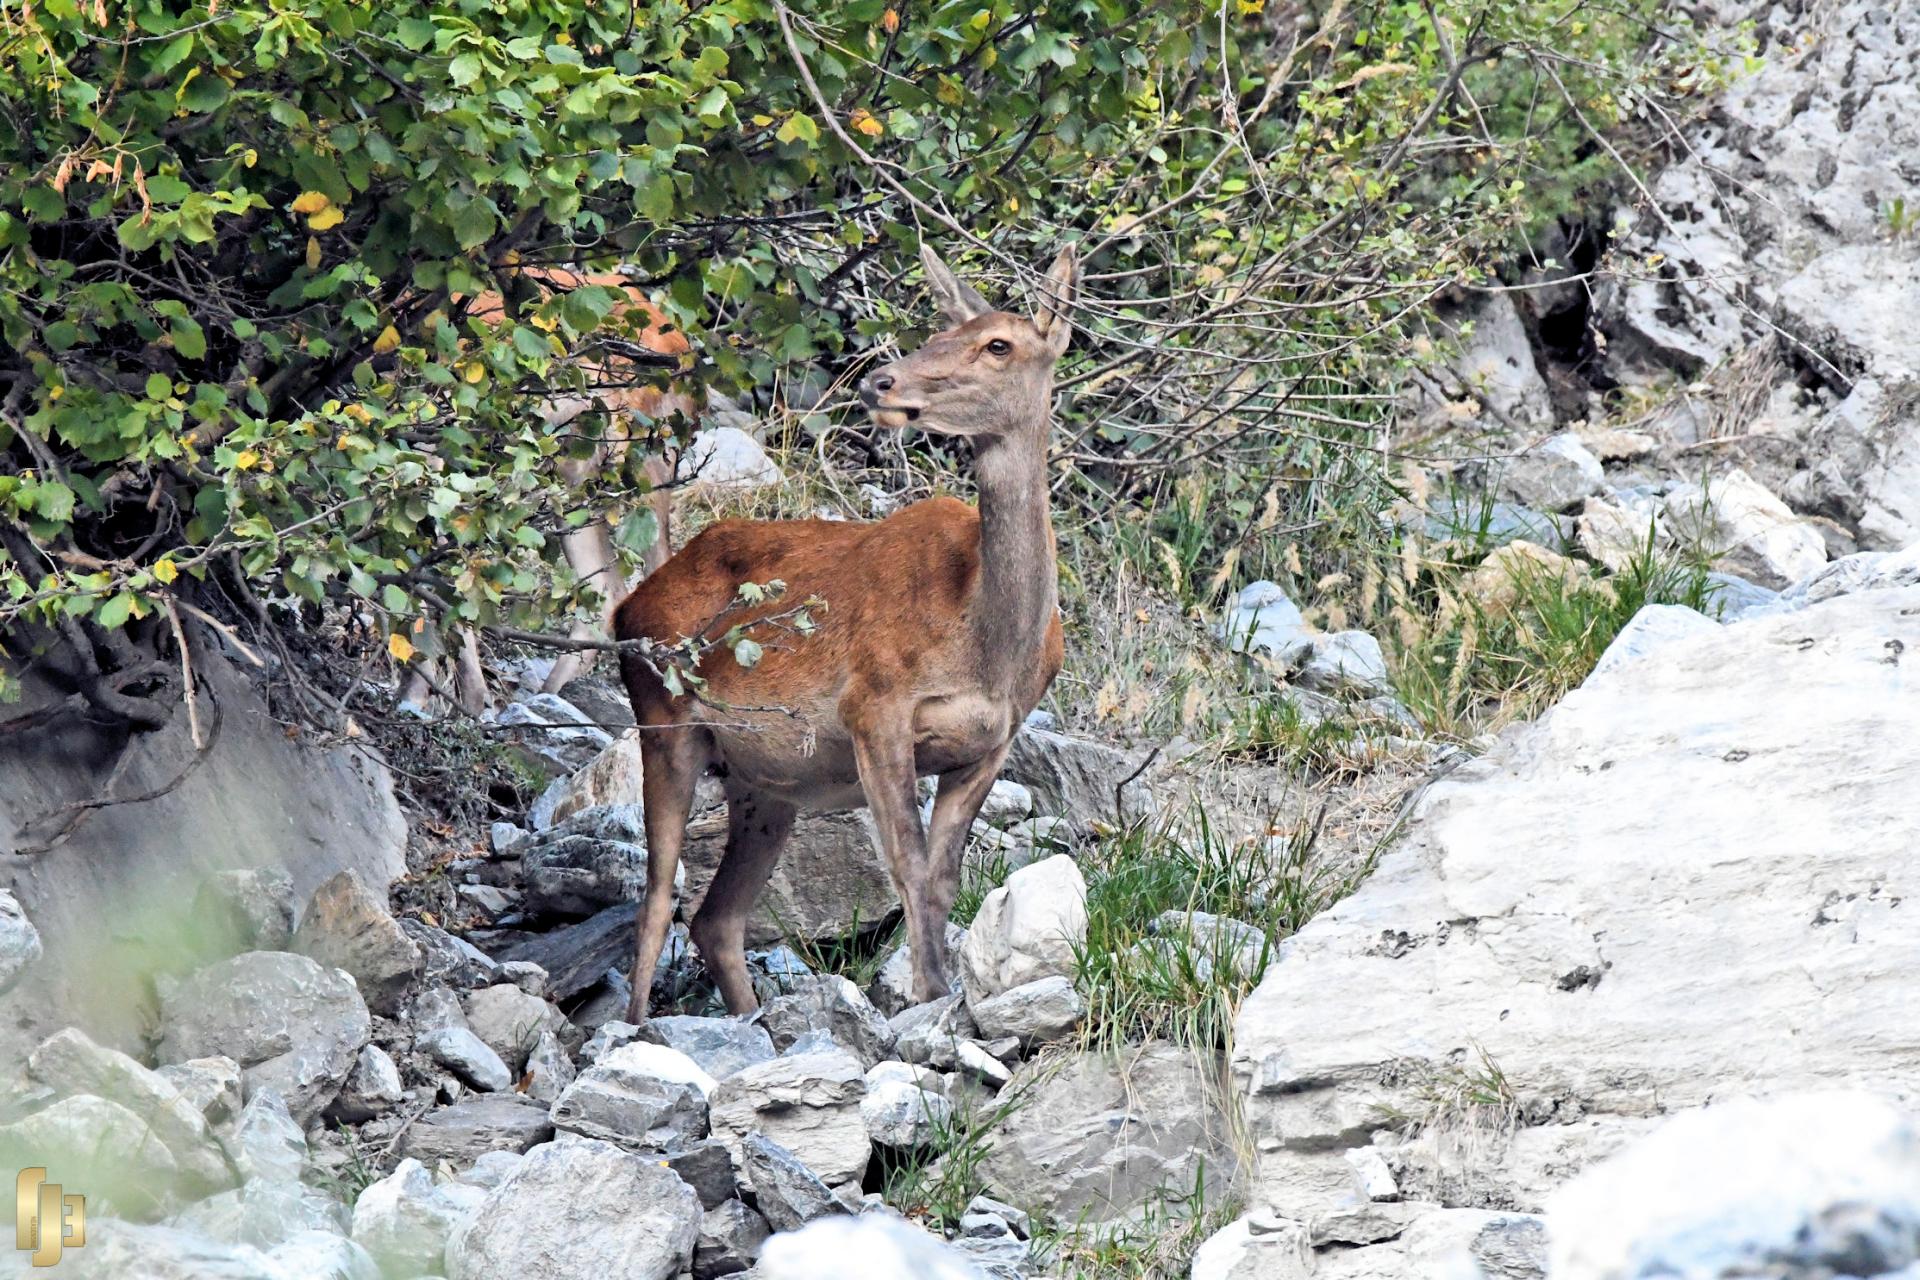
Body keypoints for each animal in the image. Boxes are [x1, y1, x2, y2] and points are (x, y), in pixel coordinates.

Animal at [610, 242, 1082, 1020]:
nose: (881, 380)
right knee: (655, 901)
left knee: (716, 917)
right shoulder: (874, 707)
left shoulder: (993, 742)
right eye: (940, 329)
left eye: (998, 344)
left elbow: (944, 879)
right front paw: (930, 1002)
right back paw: (638, 1025)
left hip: (765, 783)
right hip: (663, 713)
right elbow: (910, 867)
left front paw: (942, 998)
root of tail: (624, 609)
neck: (987, 644)